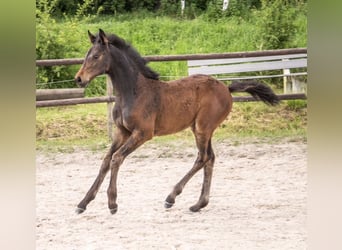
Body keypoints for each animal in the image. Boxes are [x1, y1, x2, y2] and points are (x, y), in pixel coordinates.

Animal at [74, 28, 278, 213]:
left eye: (96, 56)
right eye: (87, 55)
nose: (79, 79)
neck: (132, 91)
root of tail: (226, 88)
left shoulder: (143, 133)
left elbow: (116, 158)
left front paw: (112, 203)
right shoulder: (122, 132)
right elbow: (106, 160)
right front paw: (83, 203)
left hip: (203, 128)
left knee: (203, 157)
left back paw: (171, 198)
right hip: (202, 129)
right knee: (210, 158)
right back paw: (198, 204)